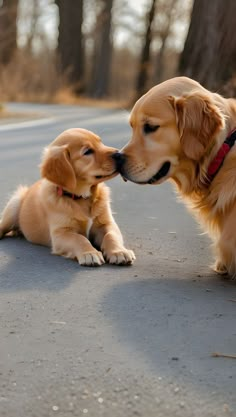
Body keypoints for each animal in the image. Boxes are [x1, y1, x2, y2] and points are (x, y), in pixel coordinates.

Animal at [0, 127, 136, 268]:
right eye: (87, 152)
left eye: (100, 142)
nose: (120, 154)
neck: (82, 197)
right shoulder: (61, 233)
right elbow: (79, 239)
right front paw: (89, 253)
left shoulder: (106, 223)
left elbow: (111, 235)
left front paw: (119, 252)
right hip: (13, 206)